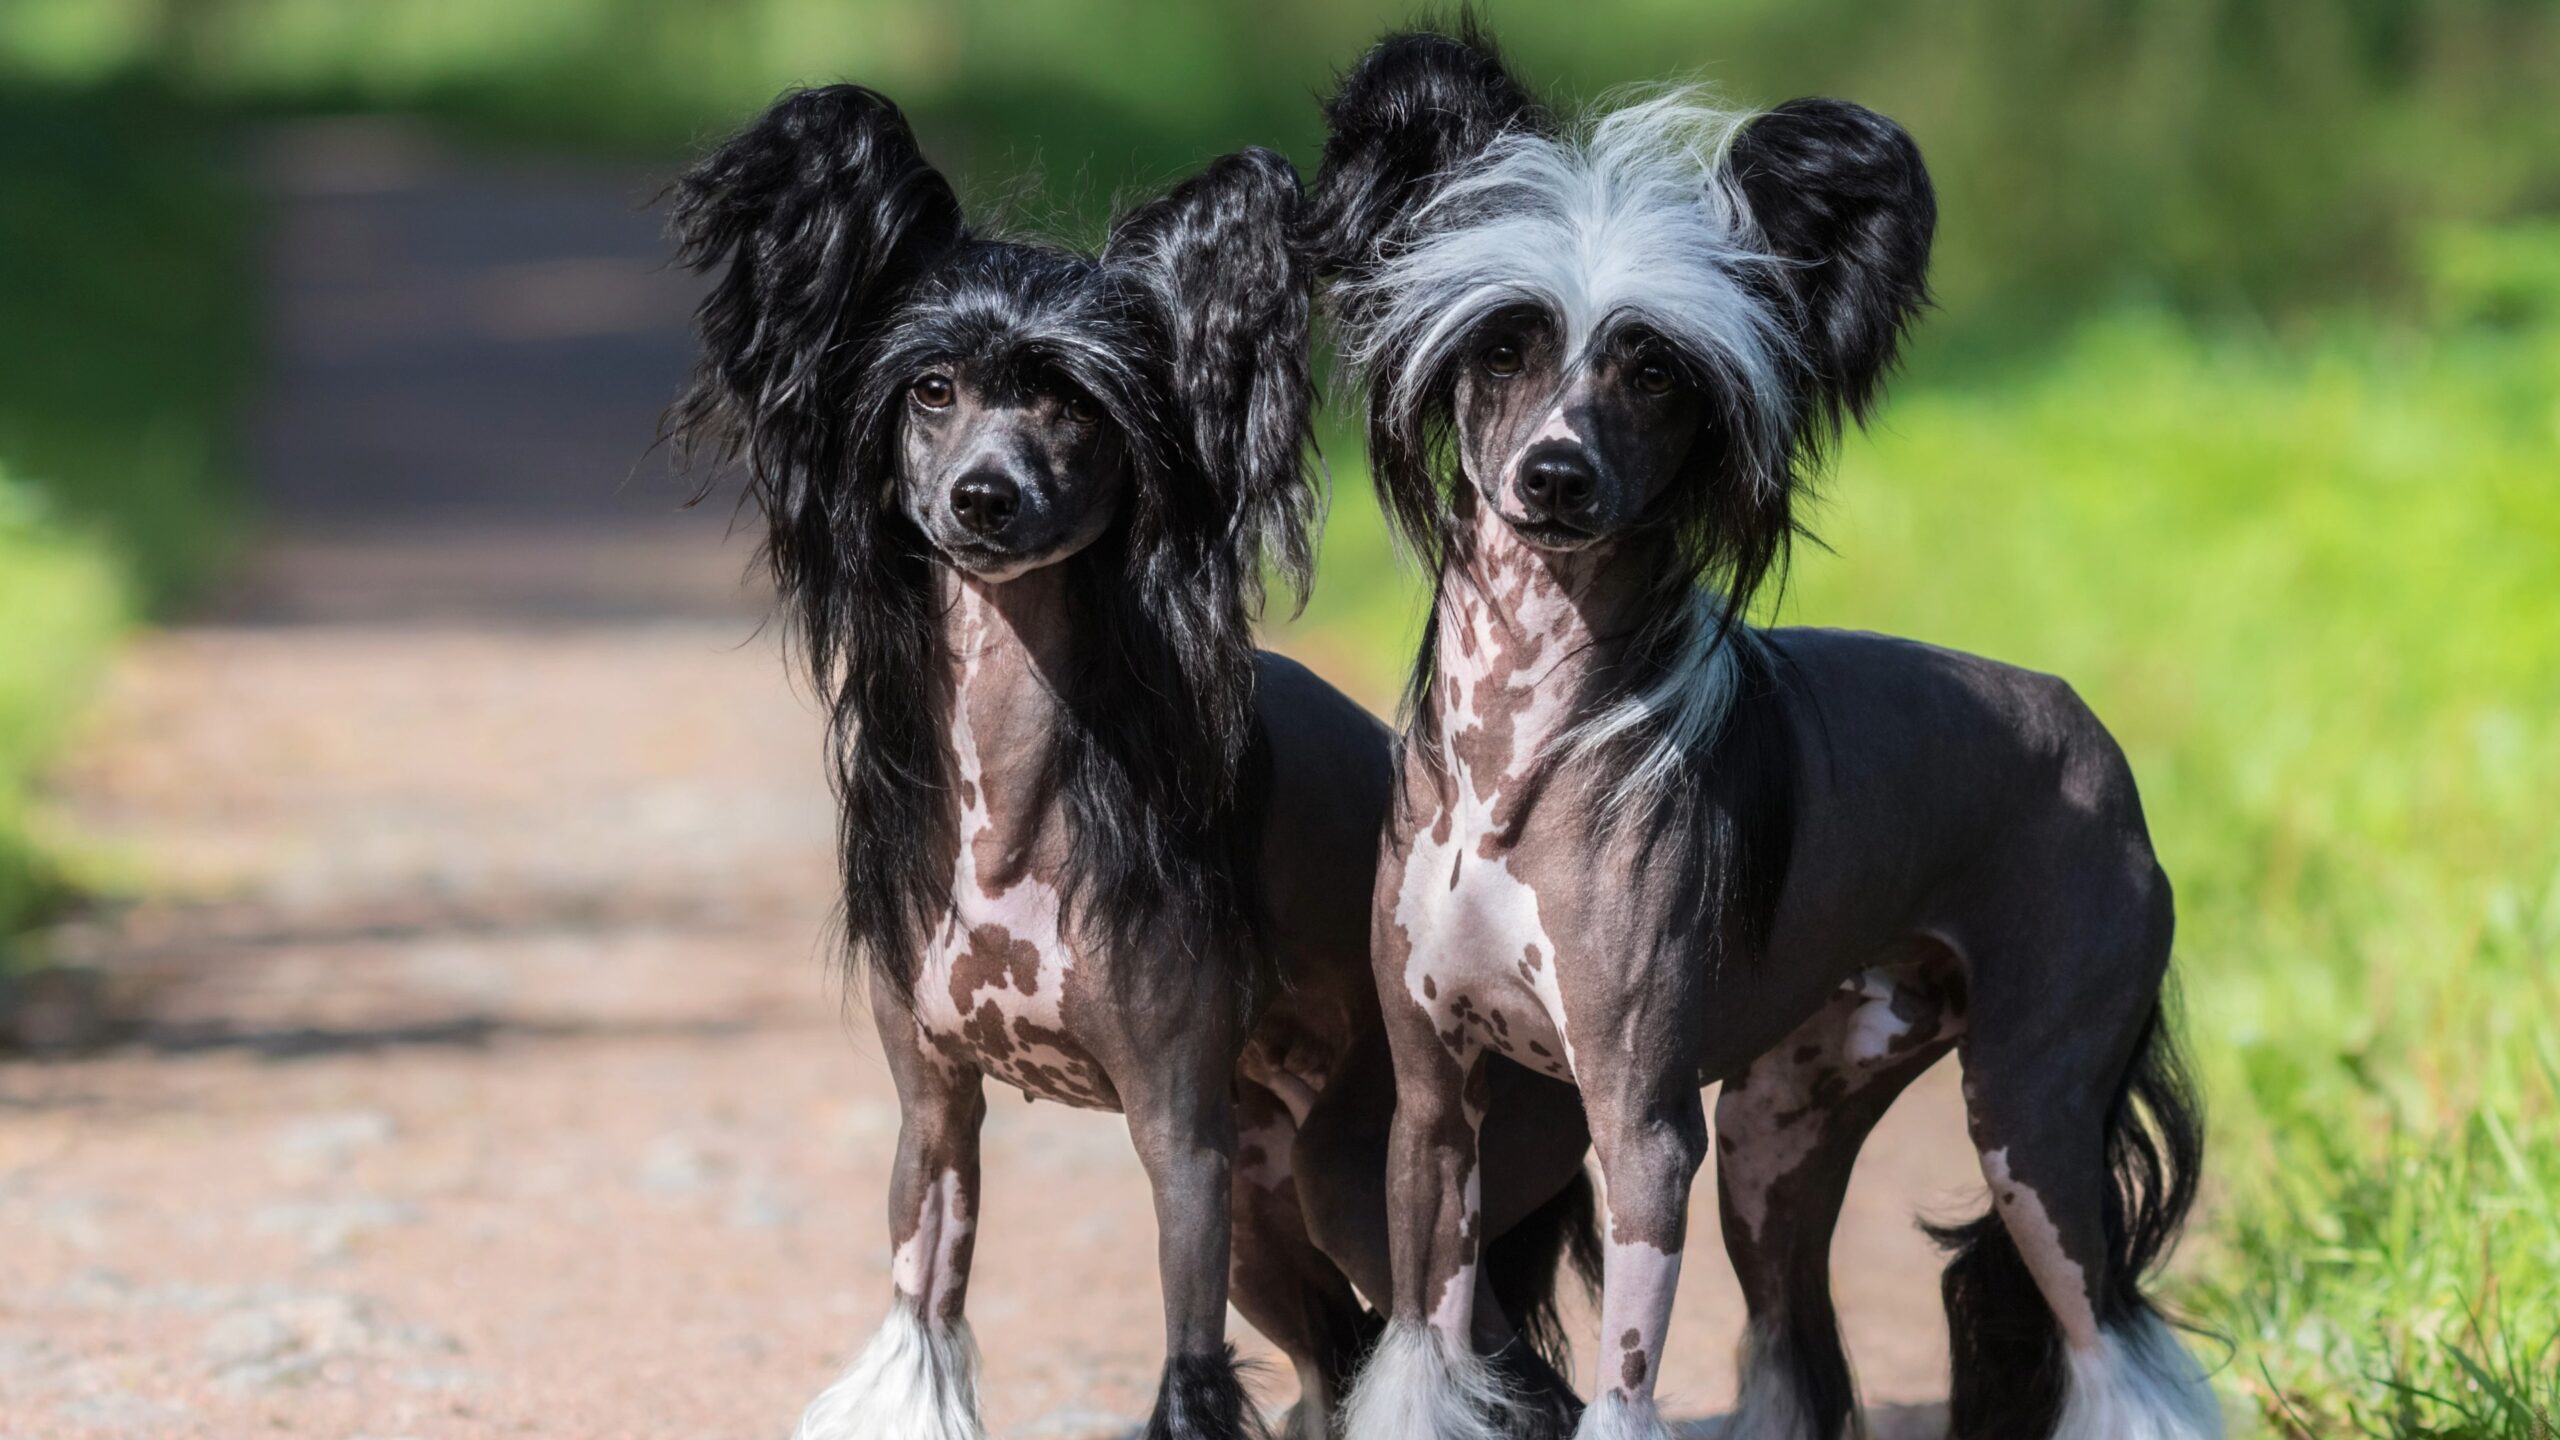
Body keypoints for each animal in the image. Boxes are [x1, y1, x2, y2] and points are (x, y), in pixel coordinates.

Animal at [665, 87, 1597, 1434]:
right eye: (930, 389)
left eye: (1074, 405)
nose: (982, 496)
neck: (1011, 792)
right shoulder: (935, 1117)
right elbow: (921, 1321)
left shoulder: (1179, 1139)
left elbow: (1189, 1372)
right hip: (1274, 1203)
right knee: (1335, 1363)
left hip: (1374, 1188)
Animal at [1310, 28, 2211, 1434]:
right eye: (1503, 347)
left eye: (1655, 370)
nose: (1555, 476)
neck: (1514, 761)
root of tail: (2084, 727)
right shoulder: (1435, 1112)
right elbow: (1422, 1353)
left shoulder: (1642, 1131)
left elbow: (1624, 1385)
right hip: (1776, 1133)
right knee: (1794, 1343)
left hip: (2030, 1120)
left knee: (2115, 1348)